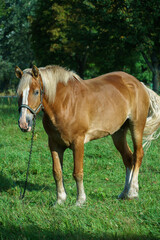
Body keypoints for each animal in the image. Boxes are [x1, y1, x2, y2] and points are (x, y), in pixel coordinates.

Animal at [15, 64, 160, 205]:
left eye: (36, 92)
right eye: (19, 93)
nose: (23, 123)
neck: (65, 104)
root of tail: (139, 84)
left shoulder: (78, 142)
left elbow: (77, 172)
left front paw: (80, 200)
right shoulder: (54, 144)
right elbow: (57, 172)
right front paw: (60, 200)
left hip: (136, 126)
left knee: (138, 155)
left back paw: (132, 192)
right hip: (118, 133)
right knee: (128, 158)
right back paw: (124, 193)